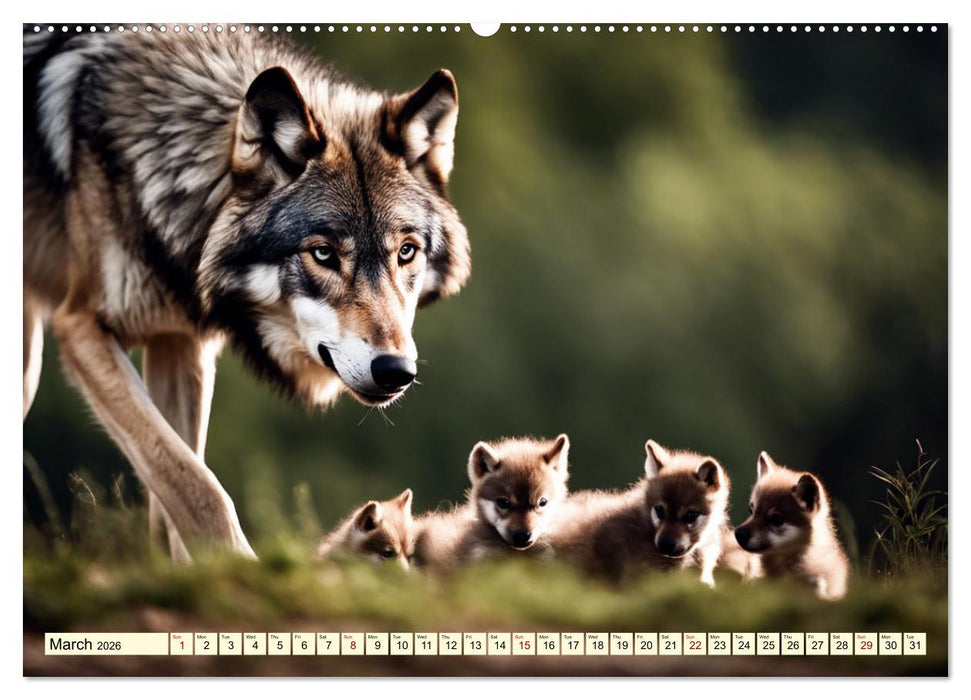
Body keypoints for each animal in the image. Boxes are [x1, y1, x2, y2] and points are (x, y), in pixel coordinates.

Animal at [23, 28, 471, 558]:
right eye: (323, 253)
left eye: (406, 251)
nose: (396, 371)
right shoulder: (81, 327)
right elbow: (198, 488)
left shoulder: (180, 342)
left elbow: (173, 497)